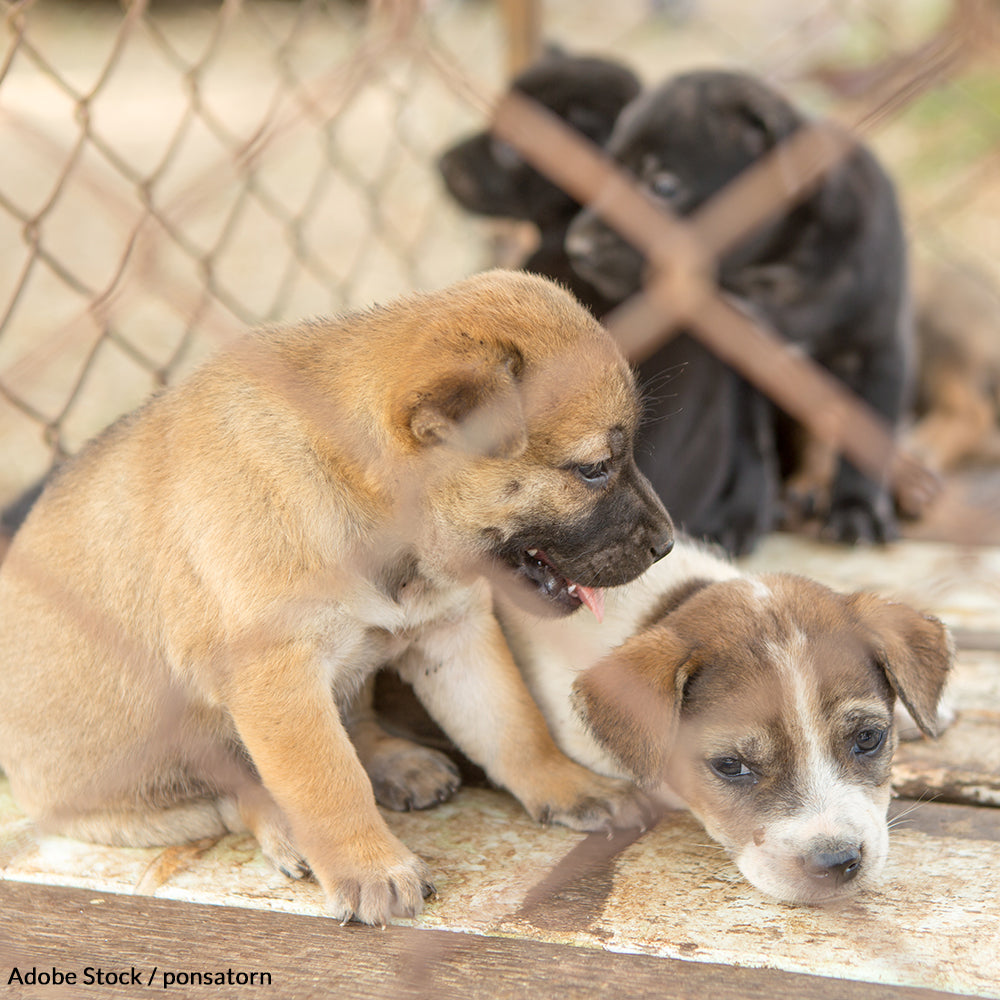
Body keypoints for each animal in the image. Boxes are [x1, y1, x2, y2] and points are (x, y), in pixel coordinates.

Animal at [0, 270, 676, 924]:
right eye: (593, 468)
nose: (667, 544)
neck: (366, 500)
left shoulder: (452, 633)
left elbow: (513, 727)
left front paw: (570, 786)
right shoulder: (277, 678)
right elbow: (327, 783)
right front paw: (370, 867)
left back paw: (397, 762)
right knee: (241, 793)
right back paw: (287, 829)